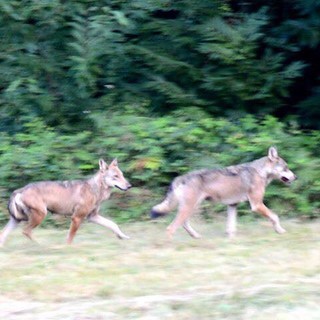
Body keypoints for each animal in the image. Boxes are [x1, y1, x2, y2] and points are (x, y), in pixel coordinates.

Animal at [0, 159, 132, 246]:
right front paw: (68, 248)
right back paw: (42, 245)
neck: (94, 189)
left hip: (17, 220)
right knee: (26, 231)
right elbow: (70, 237)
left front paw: (123, 236)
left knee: (3, 234)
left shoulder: (92, 217)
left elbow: (113, 224)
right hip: (39, 216)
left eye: (122, 175)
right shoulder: (77, 218)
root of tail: (20, 190)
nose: (129, 186)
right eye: (115, 176)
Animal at [150, 147, 298, 238]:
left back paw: (196, 237)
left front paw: (232, 241)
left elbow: (231, 228)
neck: (260, 172)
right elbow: (275, 217)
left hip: (191, 208)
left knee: (184, 224)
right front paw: (280, 230)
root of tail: (180, 178)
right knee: (171, 228)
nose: (296, 177)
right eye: (286, 168)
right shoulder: (256, 205)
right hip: (189, 208)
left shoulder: (232, 205)